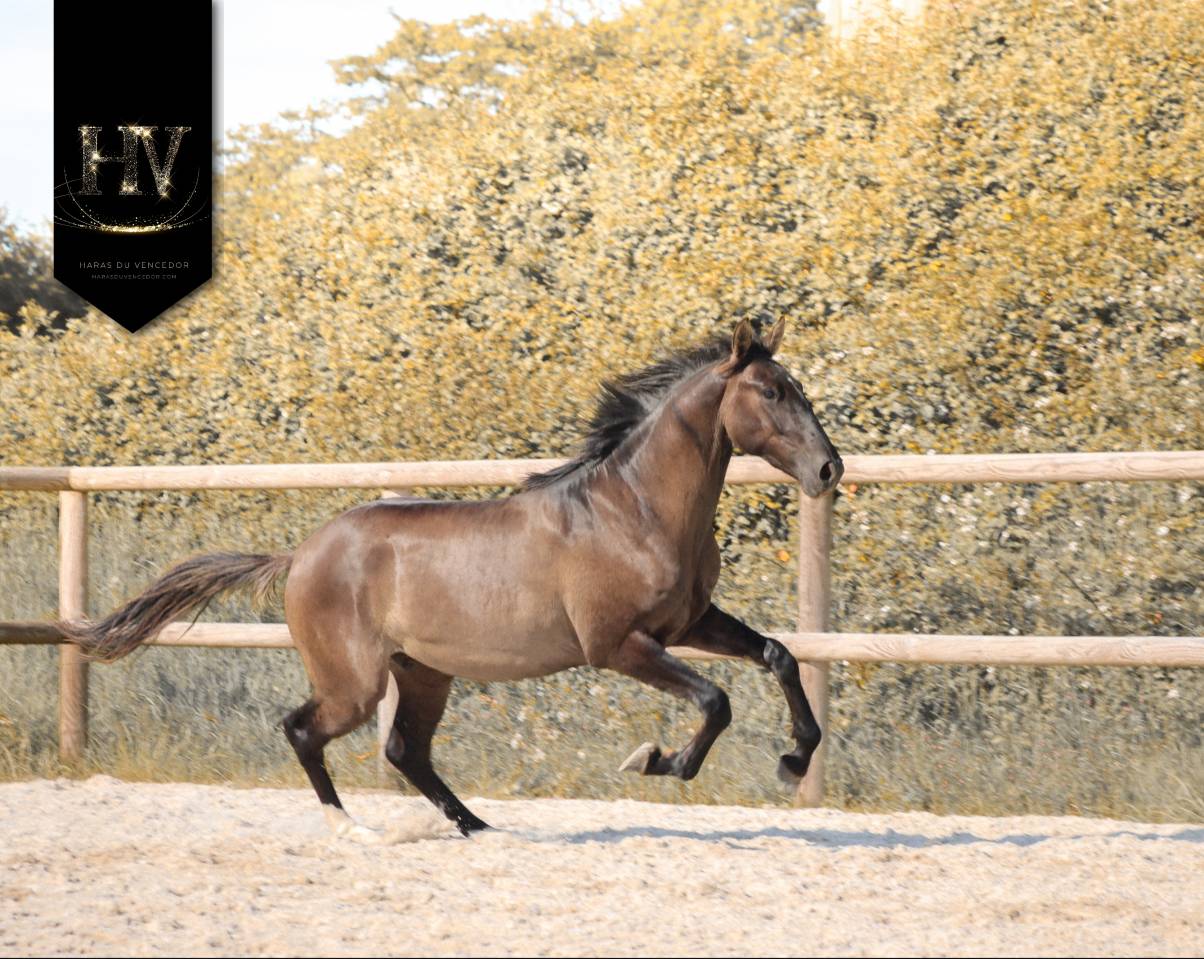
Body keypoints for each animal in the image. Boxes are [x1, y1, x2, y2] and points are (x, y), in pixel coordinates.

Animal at [61, 317, 844, 840]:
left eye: (795, 387)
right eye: (771, 390)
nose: (828, 468)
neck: (637, 507)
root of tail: (299, 554)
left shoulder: (690, 621)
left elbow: (779, 654)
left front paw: (793, 757)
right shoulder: (618, 645)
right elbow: (715, 700)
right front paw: (654, 760)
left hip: (424, 672)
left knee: (405, 749)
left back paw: (475, 825)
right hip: (355, 682)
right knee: (304, 729)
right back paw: (348, 825)